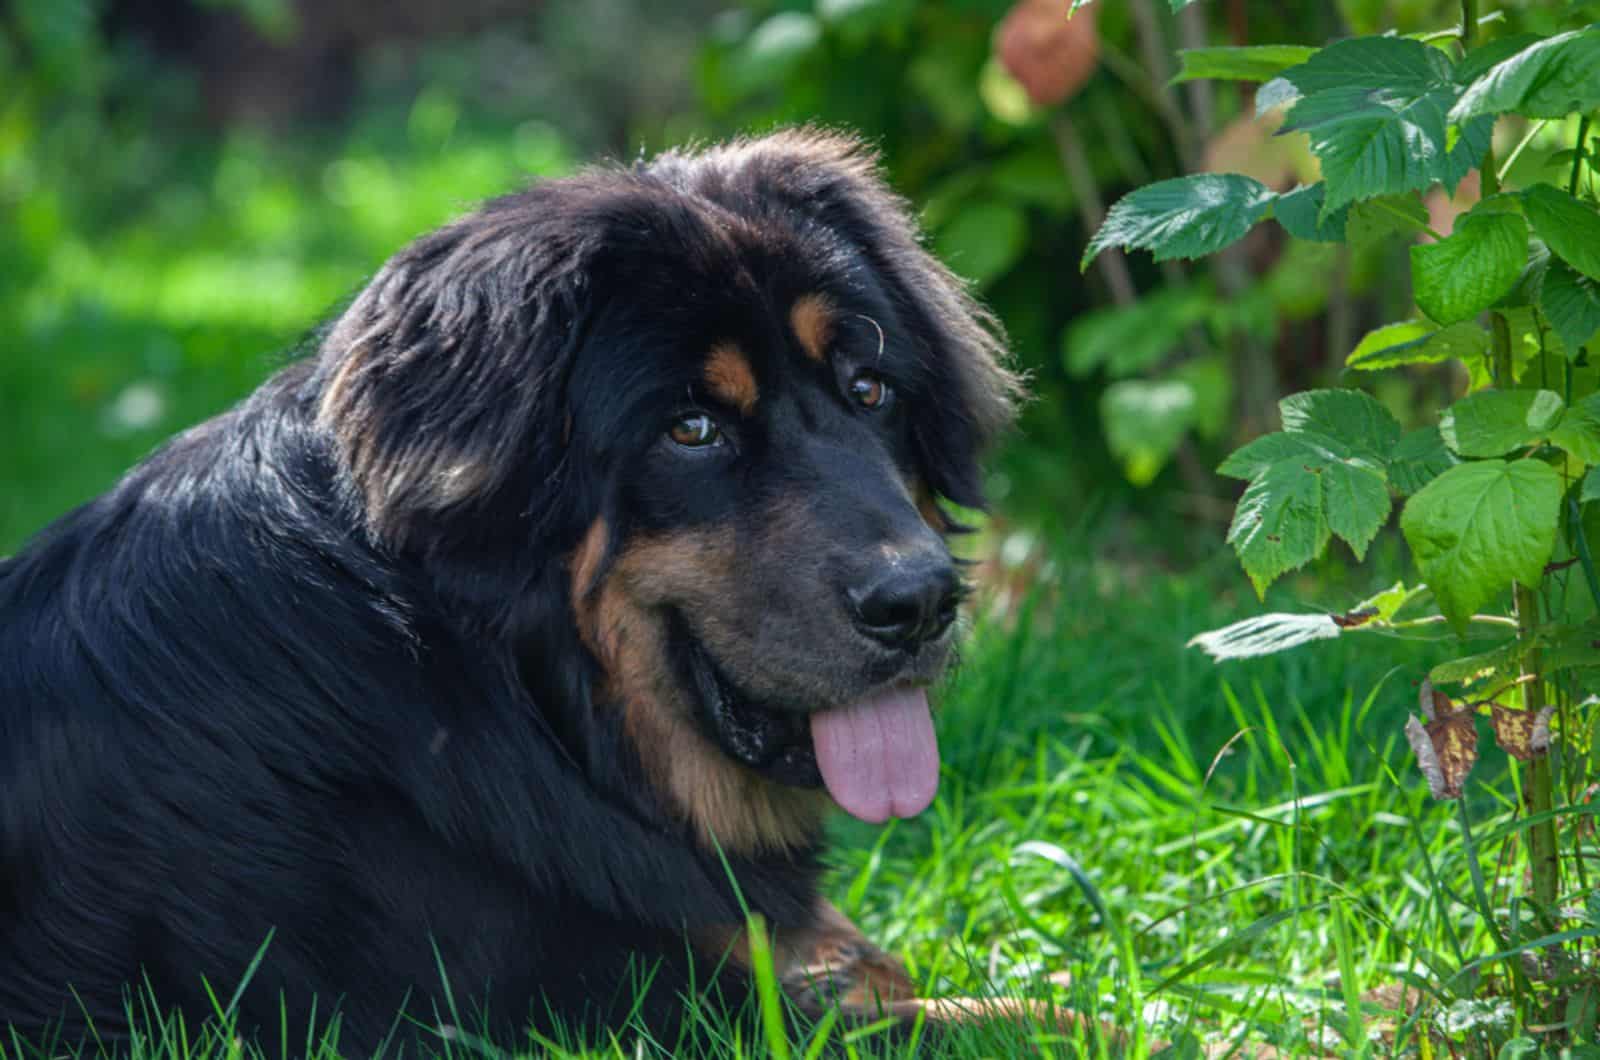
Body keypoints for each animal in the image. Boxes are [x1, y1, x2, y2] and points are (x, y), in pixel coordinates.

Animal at [0, 128, 1024, 1050]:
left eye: (870, 389)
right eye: (691, 429)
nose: (919, 602)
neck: (507, 685)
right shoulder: (631, 1013)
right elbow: (994, 1015)